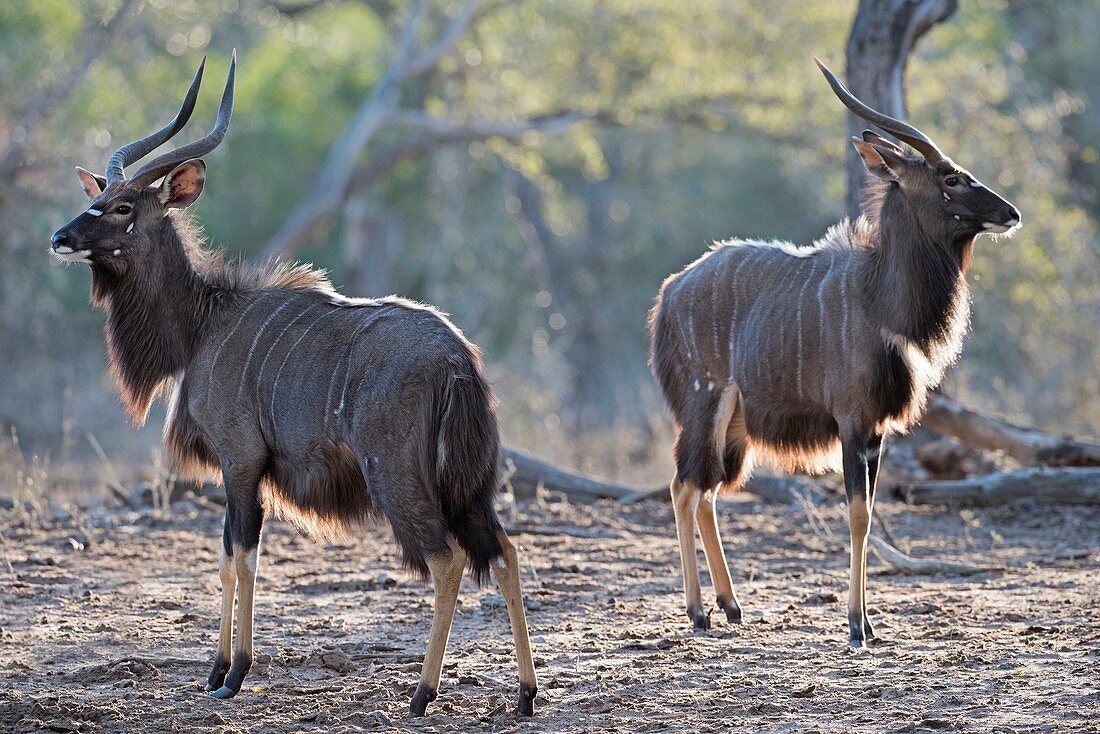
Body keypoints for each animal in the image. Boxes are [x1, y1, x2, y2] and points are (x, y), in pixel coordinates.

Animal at [51, 56, 536, 717]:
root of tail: (458, 361)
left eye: (124, 206)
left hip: (400, 480)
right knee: (505, 554)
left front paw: (232, 674)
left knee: (448, 558)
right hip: (471, 486)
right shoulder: (243, 471)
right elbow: (228, 555)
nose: (60, 237)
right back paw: (526, 694)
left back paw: (421, 694)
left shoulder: (240, 462)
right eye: (98, 196)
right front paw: (215, 670)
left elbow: (242, 557)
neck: (204, 323)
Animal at [646, 58, 1016, 647]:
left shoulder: (878, 431)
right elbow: (858, 515)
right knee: (685, 486)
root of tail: (668, 293)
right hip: (705, 405)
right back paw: (699, 611)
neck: (877, 297)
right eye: (951, 177)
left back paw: (732, 606)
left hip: (734, 427)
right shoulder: (852, 420)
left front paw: (870, 624)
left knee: (708, 492)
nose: (1012, 213)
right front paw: (856, 627)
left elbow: (868, 510)